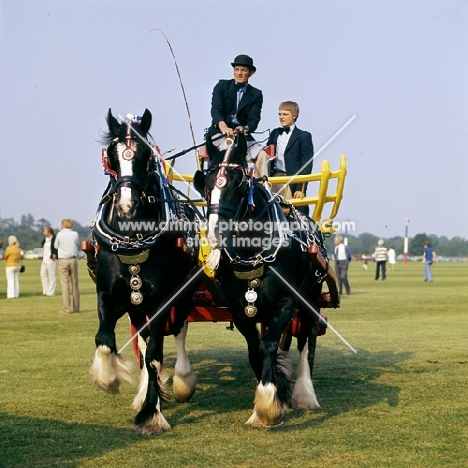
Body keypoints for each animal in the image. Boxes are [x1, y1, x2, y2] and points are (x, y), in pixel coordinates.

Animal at [89, 109, 197, 436]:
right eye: (112, 155)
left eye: (146, 154)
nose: (127, 206)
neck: (131, 238)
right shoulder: (107, 294)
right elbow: (104, 339)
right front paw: (109, 380)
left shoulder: (162, 299)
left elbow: (154, 356)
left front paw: (151, 413)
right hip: (137, 306)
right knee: (144, 336)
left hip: (182, 295)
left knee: (177, 332)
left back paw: (182, 380)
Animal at [194, 133, 332, 428]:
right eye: (207, 184)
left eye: (238, 181)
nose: (214, 234)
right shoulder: (239, 308)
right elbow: (255, 349)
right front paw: (271, 394)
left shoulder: (286, 302)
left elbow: (269, 345)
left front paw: (268, 404)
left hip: (311, 296)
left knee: (307, 338)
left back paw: (304, 393)